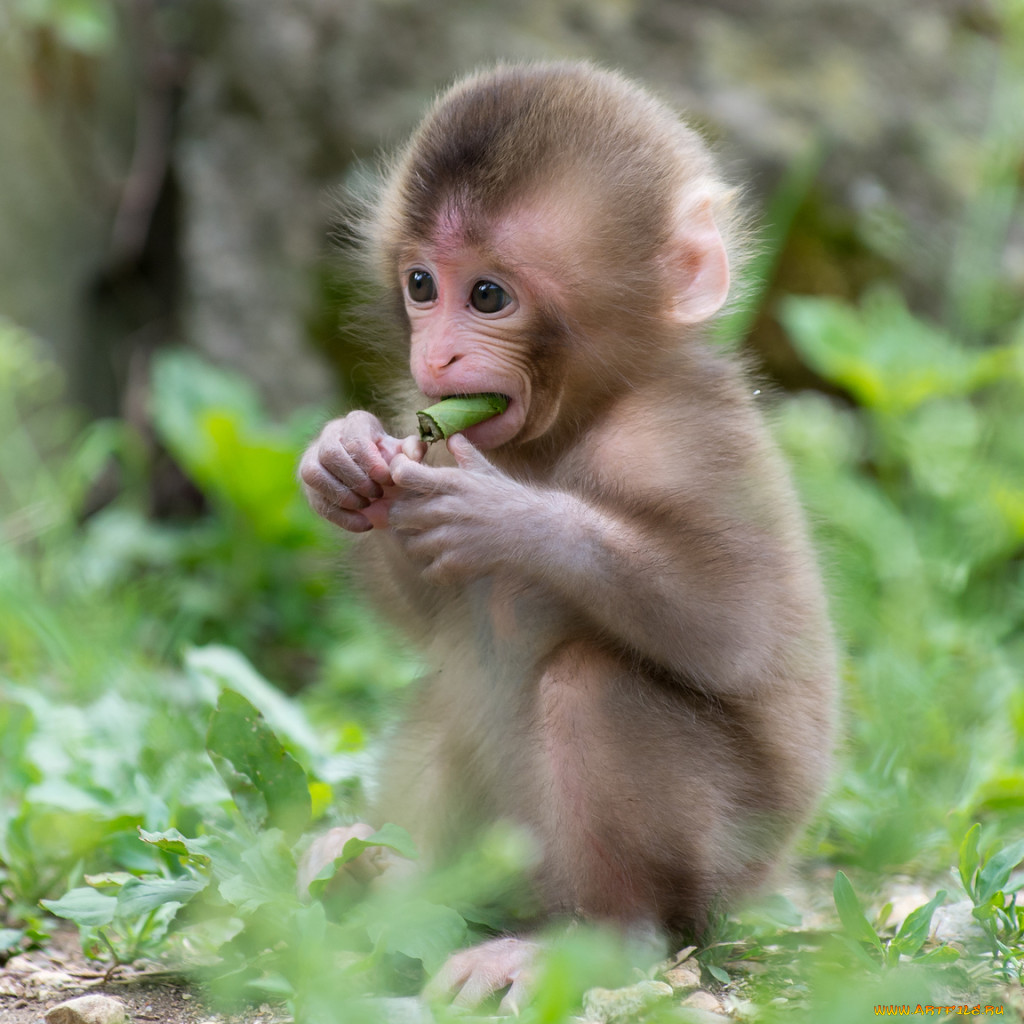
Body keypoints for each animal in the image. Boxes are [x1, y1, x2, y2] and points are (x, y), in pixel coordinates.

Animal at [299, 59, 839, 1011]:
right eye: (420, 286)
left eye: (488, 295)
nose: (435, 357)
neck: (580, 414)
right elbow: (426, 608)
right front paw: (346, 458)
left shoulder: (684, 434)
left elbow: (733, 622)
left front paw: (507, 516)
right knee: (454, 685)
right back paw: (383, 880)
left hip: (725, 867)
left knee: (592, 684)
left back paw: (597, 941)